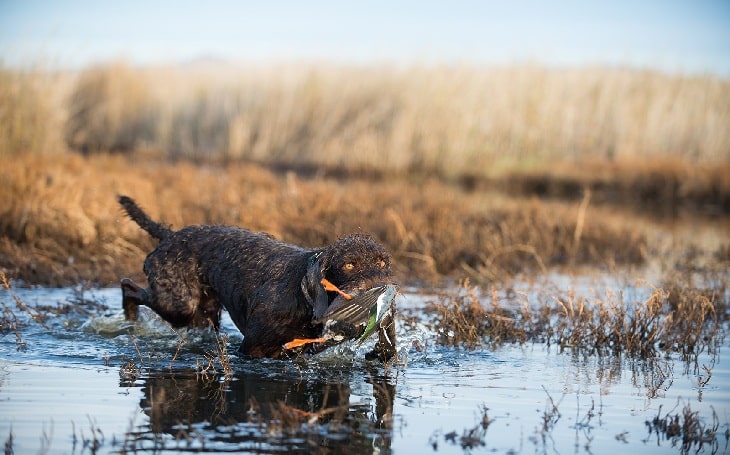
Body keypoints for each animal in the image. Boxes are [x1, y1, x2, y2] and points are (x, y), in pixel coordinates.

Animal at [117, 195, 396, 360]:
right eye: (349, 264)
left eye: (382, 263)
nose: (381, 290)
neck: (302, 296)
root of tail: (170, 235)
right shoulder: (252, 348)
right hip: (179, 304)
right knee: (128, 286)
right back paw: (130, 319)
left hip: (203, 315)